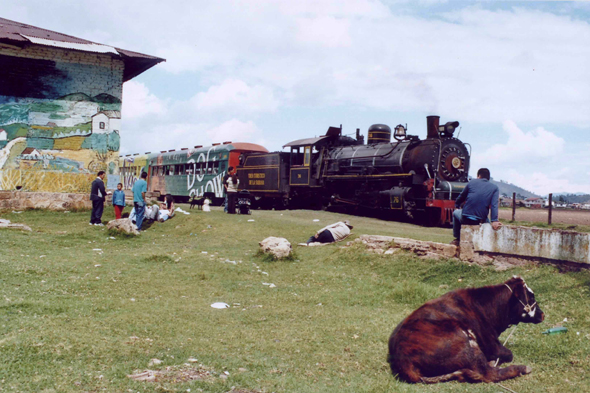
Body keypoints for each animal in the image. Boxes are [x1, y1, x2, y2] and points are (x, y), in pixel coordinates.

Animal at [388, 274, 544, 382]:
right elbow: (508, 354)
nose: (542, 314)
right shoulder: (494, 345)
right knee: (487, 373)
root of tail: (404, 360)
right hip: (465, 341)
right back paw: (521, 368)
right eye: (531, 297)